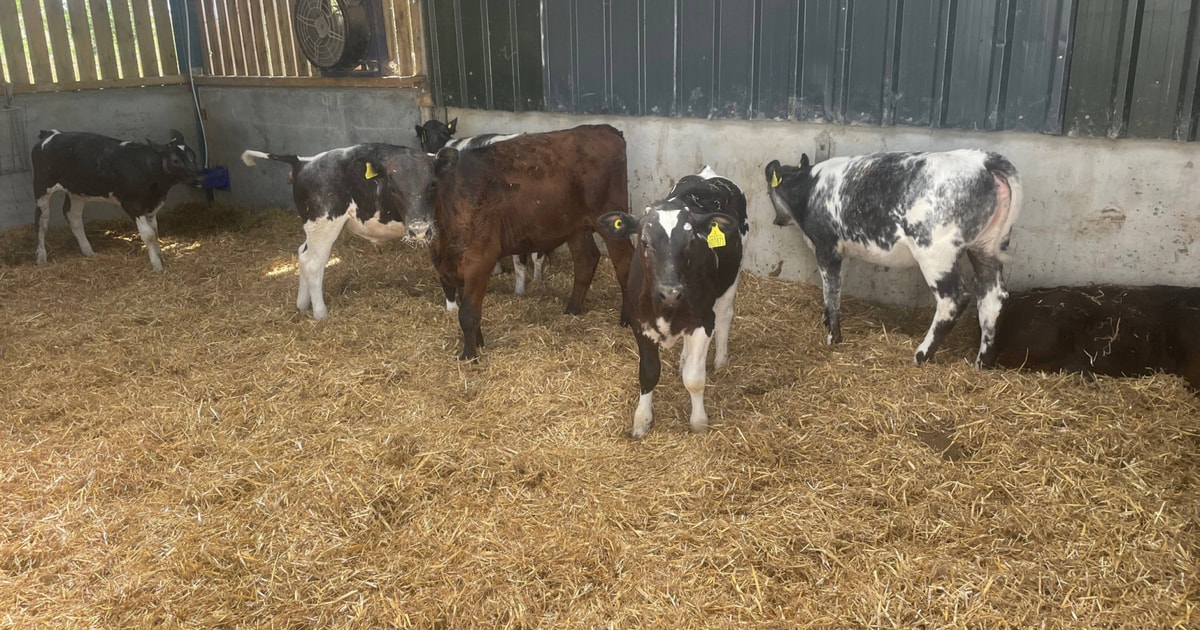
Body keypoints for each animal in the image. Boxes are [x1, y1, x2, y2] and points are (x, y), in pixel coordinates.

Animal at [32, 129, 204, 271]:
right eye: (175, 160)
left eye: (194, 156)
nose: (198, 178)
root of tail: (51, 133)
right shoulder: (132, 205)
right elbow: (148, 235)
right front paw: (156, 265)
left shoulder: (152, 206)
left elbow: (155, 232)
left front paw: (160, 257)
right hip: (42, 186)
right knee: (41, 221)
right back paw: (41, 256)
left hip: (76, 192)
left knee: (72, 216)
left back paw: (88, 251)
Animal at [241, 144, 436, 320]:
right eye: (393, 188)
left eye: (431, 186)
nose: (419, 229)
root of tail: (304, 161)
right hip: (324, 224)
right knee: (313, 264)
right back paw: (320, 314)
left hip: (313, 227)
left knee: (302, 254)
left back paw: (302, 304)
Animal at [430, 124, 635, 360]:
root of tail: (605, 129)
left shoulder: (479, 258)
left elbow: (468, 311)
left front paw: (468, 355)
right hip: (576, 226)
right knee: (586, 259)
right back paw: (572, 309)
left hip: (610, 219)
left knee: (625, 261)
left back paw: (627, 319)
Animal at [597, 166, 748, 438]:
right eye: (644, 242)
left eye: (691, 242)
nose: (671, 291)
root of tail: (708, 174)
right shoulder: (640, 323)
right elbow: (648, 373)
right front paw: (642, 421)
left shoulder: (702, 321)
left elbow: (695, 378)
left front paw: (699, 422)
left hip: (731, 279)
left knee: (725, 316)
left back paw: (720, 360)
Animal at [765, 149, 1022, 367]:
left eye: (768, 193)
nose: (777, 221)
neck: (808, 190)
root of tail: (984, 161)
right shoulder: (841, 250)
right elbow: (835, 288)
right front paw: (826, 320)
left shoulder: (827, 247)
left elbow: (831, 292)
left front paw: (833, 336)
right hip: (985, 248)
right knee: (993, 298)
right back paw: (981, 363)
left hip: (935, 253)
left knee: (954, 299)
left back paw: (921, 356)